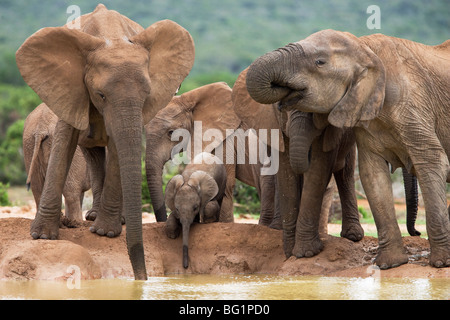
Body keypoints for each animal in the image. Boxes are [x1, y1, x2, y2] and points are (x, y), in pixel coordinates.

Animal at [15, 5, 195, 280]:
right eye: (100, 95)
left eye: (147, 95)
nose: (142, 279)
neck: (112, 37)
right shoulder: (70, 89)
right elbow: (64, 143)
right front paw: (43, 236)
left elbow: (118, 151)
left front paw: (105, 233)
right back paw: (82, 220)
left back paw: (101, 220)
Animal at [246, 30, 450, 270]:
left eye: (320, 62)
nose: (416, 233)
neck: (364, 46)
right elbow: (372, 174)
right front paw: (390, 265)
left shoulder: (413, 103)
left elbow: (431, 160)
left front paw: (442, 263)